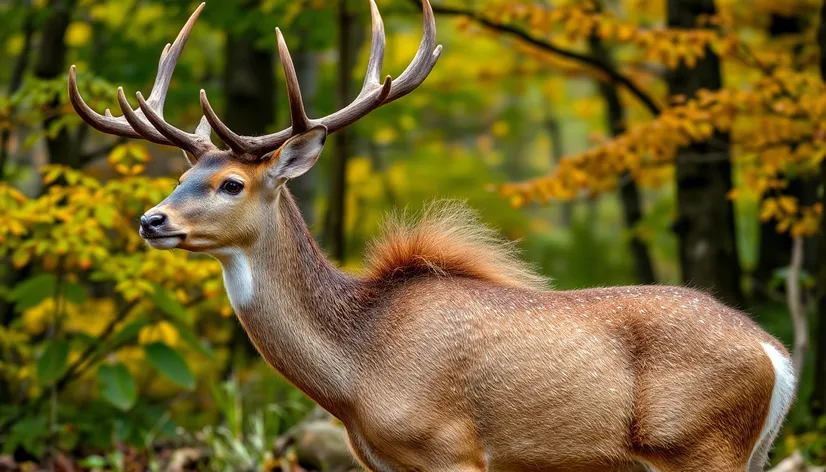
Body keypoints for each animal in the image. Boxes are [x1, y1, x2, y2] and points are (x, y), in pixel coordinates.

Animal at [67, 1, 796, 470]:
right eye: (185, 174)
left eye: (231, 184)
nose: (151, 220)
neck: (356, 375)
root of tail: (777, 356)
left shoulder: (450, 447)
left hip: (699, 445)